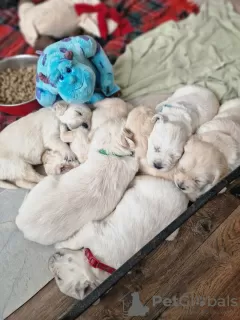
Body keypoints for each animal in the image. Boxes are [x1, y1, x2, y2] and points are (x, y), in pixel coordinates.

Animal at [51, 175, 188, 300]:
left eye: (59, 278)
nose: (50, 261)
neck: (95, 265)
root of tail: (183, 196)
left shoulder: (88, 232)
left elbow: (73, 241)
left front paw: (59, 244)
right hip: (171, 234)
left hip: (148, 184)